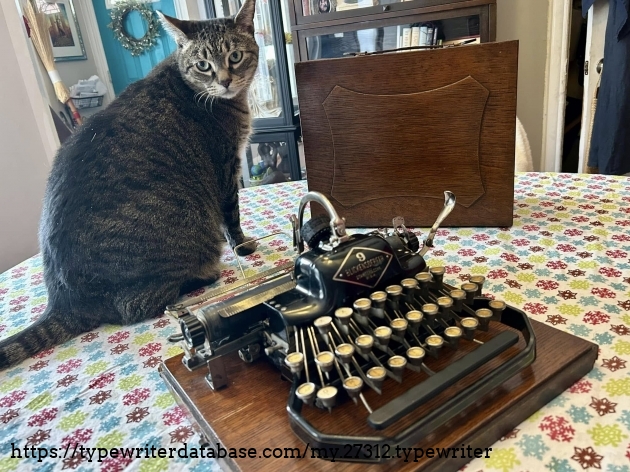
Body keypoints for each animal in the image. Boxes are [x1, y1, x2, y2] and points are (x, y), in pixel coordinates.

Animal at [0, 0, 260, 369]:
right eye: (203, 65)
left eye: (235, 56)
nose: (224, 81)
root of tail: (64, 302)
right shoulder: (226, 168)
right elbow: (232, 216)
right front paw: (242, 246)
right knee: (135, 306)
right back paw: (205, 274)